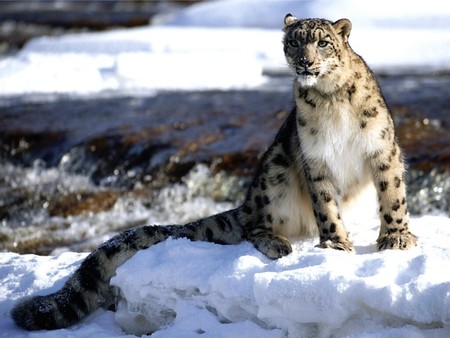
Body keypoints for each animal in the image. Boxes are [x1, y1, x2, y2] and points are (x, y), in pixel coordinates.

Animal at [11, 15, 418, 330]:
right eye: (294, 43)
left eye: (323, 42)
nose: (305, 62)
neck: (332, 100)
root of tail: (247, 203)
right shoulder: (315, 161)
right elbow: (325, 206)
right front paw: (335, 243)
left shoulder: (382, 149)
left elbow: (392, 193)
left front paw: (396, 237)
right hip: (275, 170)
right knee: (255, 225)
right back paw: (276, 242)